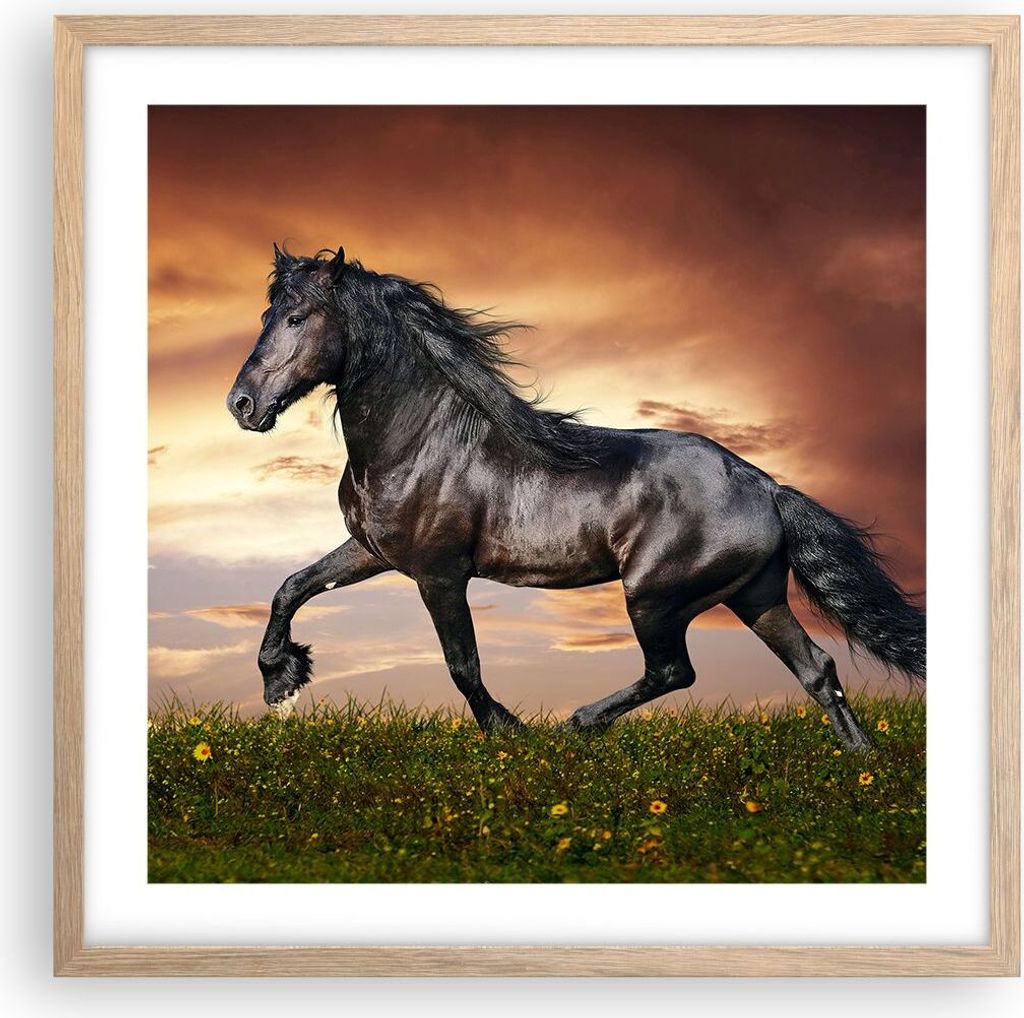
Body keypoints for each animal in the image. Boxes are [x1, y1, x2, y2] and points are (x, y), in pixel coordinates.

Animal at [226, 244, 925, 750]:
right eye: (266, 317)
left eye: (296, 318)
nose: (243, 405)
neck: (421, 439)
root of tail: (766, 487)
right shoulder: (373, 551)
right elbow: (292, 586)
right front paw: (281, 680)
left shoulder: (439, 573)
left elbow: (462, 665)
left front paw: (508, 732)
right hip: (755, 596)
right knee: (817, 670)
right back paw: (860, 764)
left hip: (655, 596)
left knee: (675, 672)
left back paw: (579, 723)